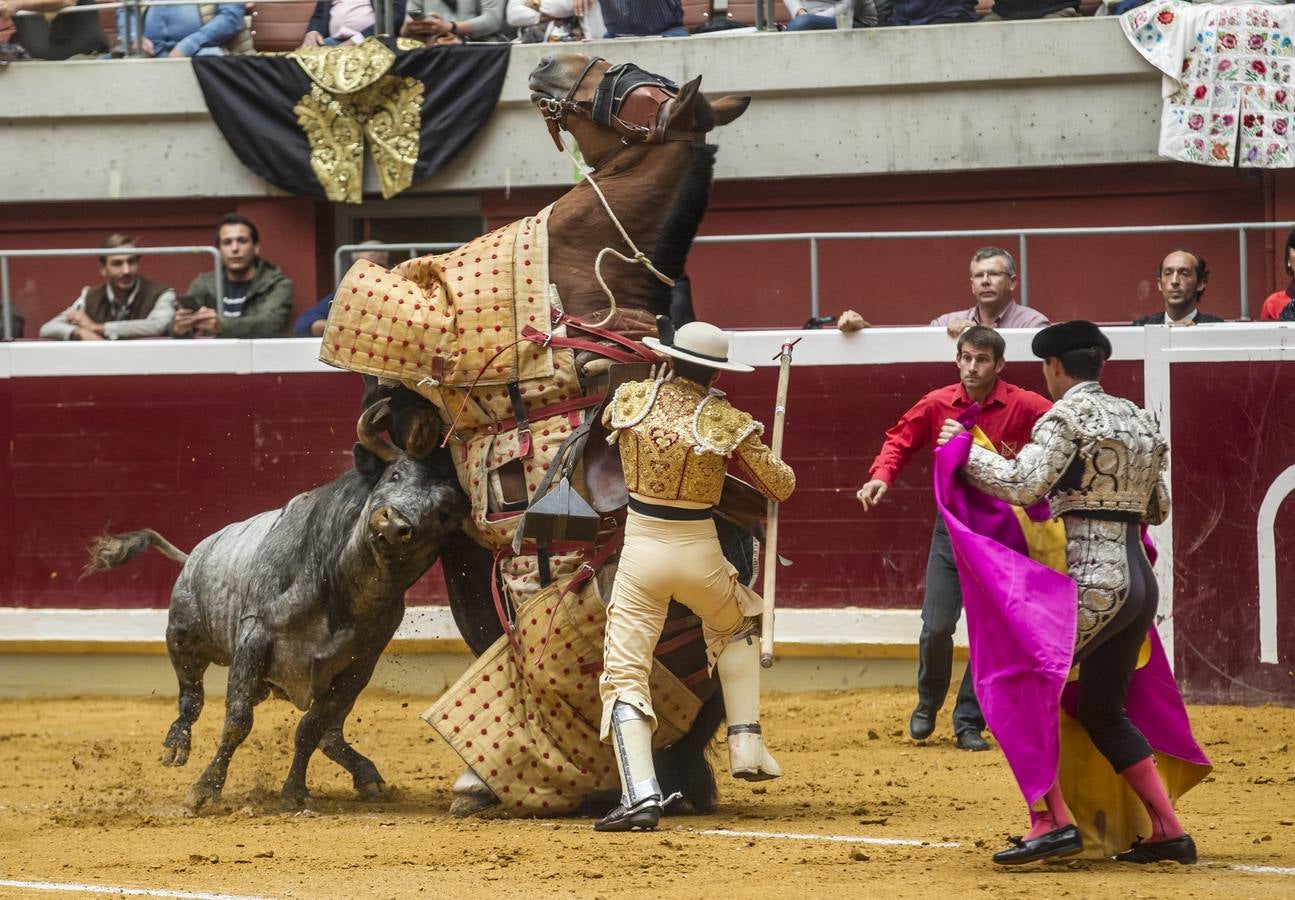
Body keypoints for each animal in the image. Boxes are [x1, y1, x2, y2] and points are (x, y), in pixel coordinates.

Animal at [83, 398, 466, 808]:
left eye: (443, 513)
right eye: (394, 475)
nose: (394, 525)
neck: (341, 586)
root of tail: (193, 555)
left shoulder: (358, 668)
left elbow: (310, 729)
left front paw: (295, 792)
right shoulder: (254, 639)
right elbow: (237, 722)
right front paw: (204, 790)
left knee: (329, 733)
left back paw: (367, 777)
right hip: (182, 637)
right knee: (191, 696)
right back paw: (176, 744)